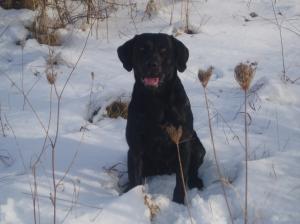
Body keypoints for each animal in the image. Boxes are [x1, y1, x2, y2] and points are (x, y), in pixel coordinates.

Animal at [117, 32, 206, 203]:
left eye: (164, 51)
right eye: (142, 49)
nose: (152, 64)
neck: (156, 101)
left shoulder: (182, 144)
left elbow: (181, 179)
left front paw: (178, 202)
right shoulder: (135, 147)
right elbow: (135, 178)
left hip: (197, 147)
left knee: (192, 171)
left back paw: (196, 181)